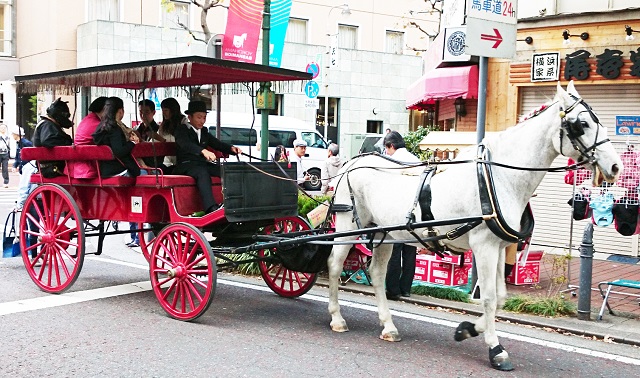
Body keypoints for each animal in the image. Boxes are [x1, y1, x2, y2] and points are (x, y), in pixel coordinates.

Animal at [324, 82, 620, 370]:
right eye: (582, 124)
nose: (616, 166)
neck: (498, 176)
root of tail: (354, 162)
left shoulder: (498, 247)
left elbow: (500, 296)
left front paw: (467, 329)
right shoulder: (483, 246)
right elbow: (488, 297)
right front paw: (496, 349)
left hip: (383, 232)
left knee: (376, 273)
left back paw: (388, 325)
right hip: (347, 224)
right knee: (334, 265)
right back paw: (337, 318)